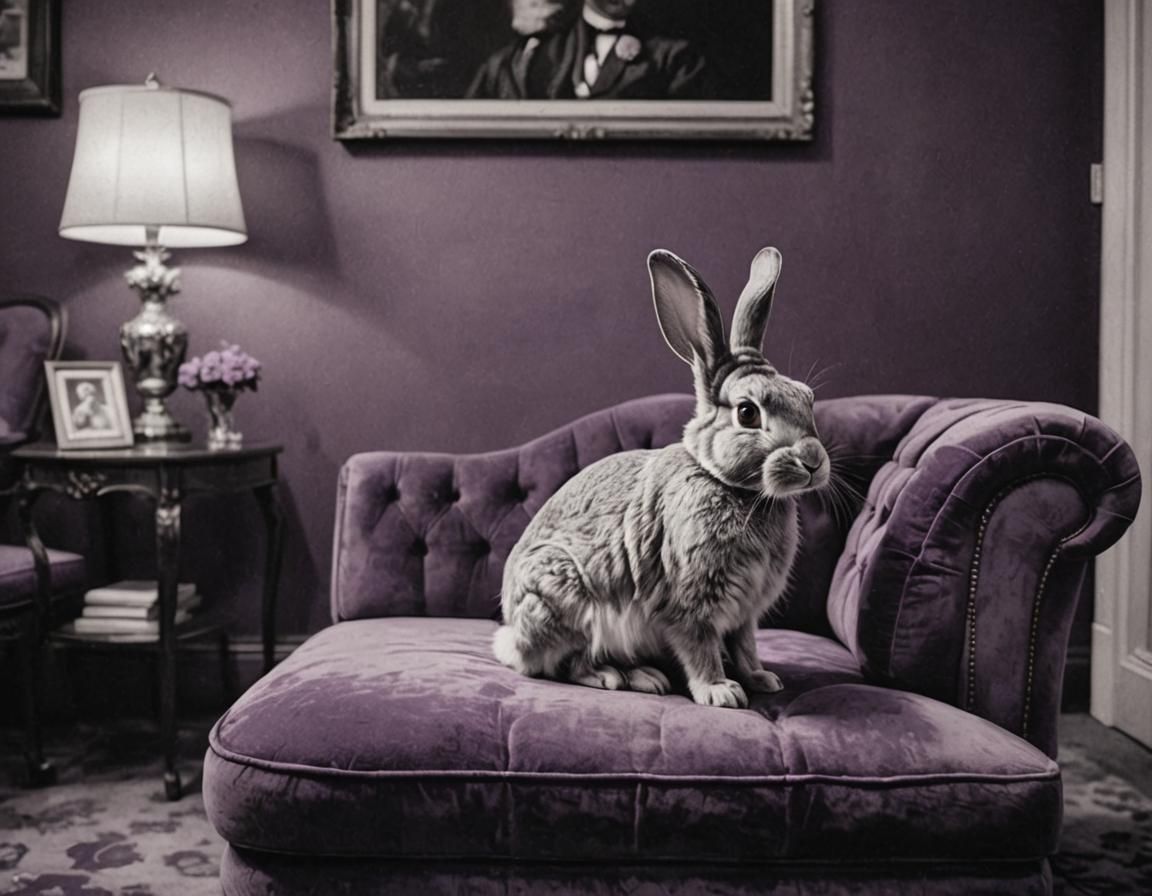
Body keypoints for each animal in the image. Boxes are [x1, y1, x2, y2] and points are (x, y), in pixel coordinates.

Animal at [493, 246, 829, 708]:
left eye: (807, 398)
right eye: (747, 412)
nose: (814, 461)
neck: (728, 485)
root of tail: (511, 637)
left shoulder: (745, 614)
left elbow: (746, 647)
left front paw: (762, 679)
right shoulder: (689, 605)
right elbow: (700, 647)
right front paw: (721, 692)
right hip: (568, 601)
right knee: (567, 664)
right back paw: (627, 678)